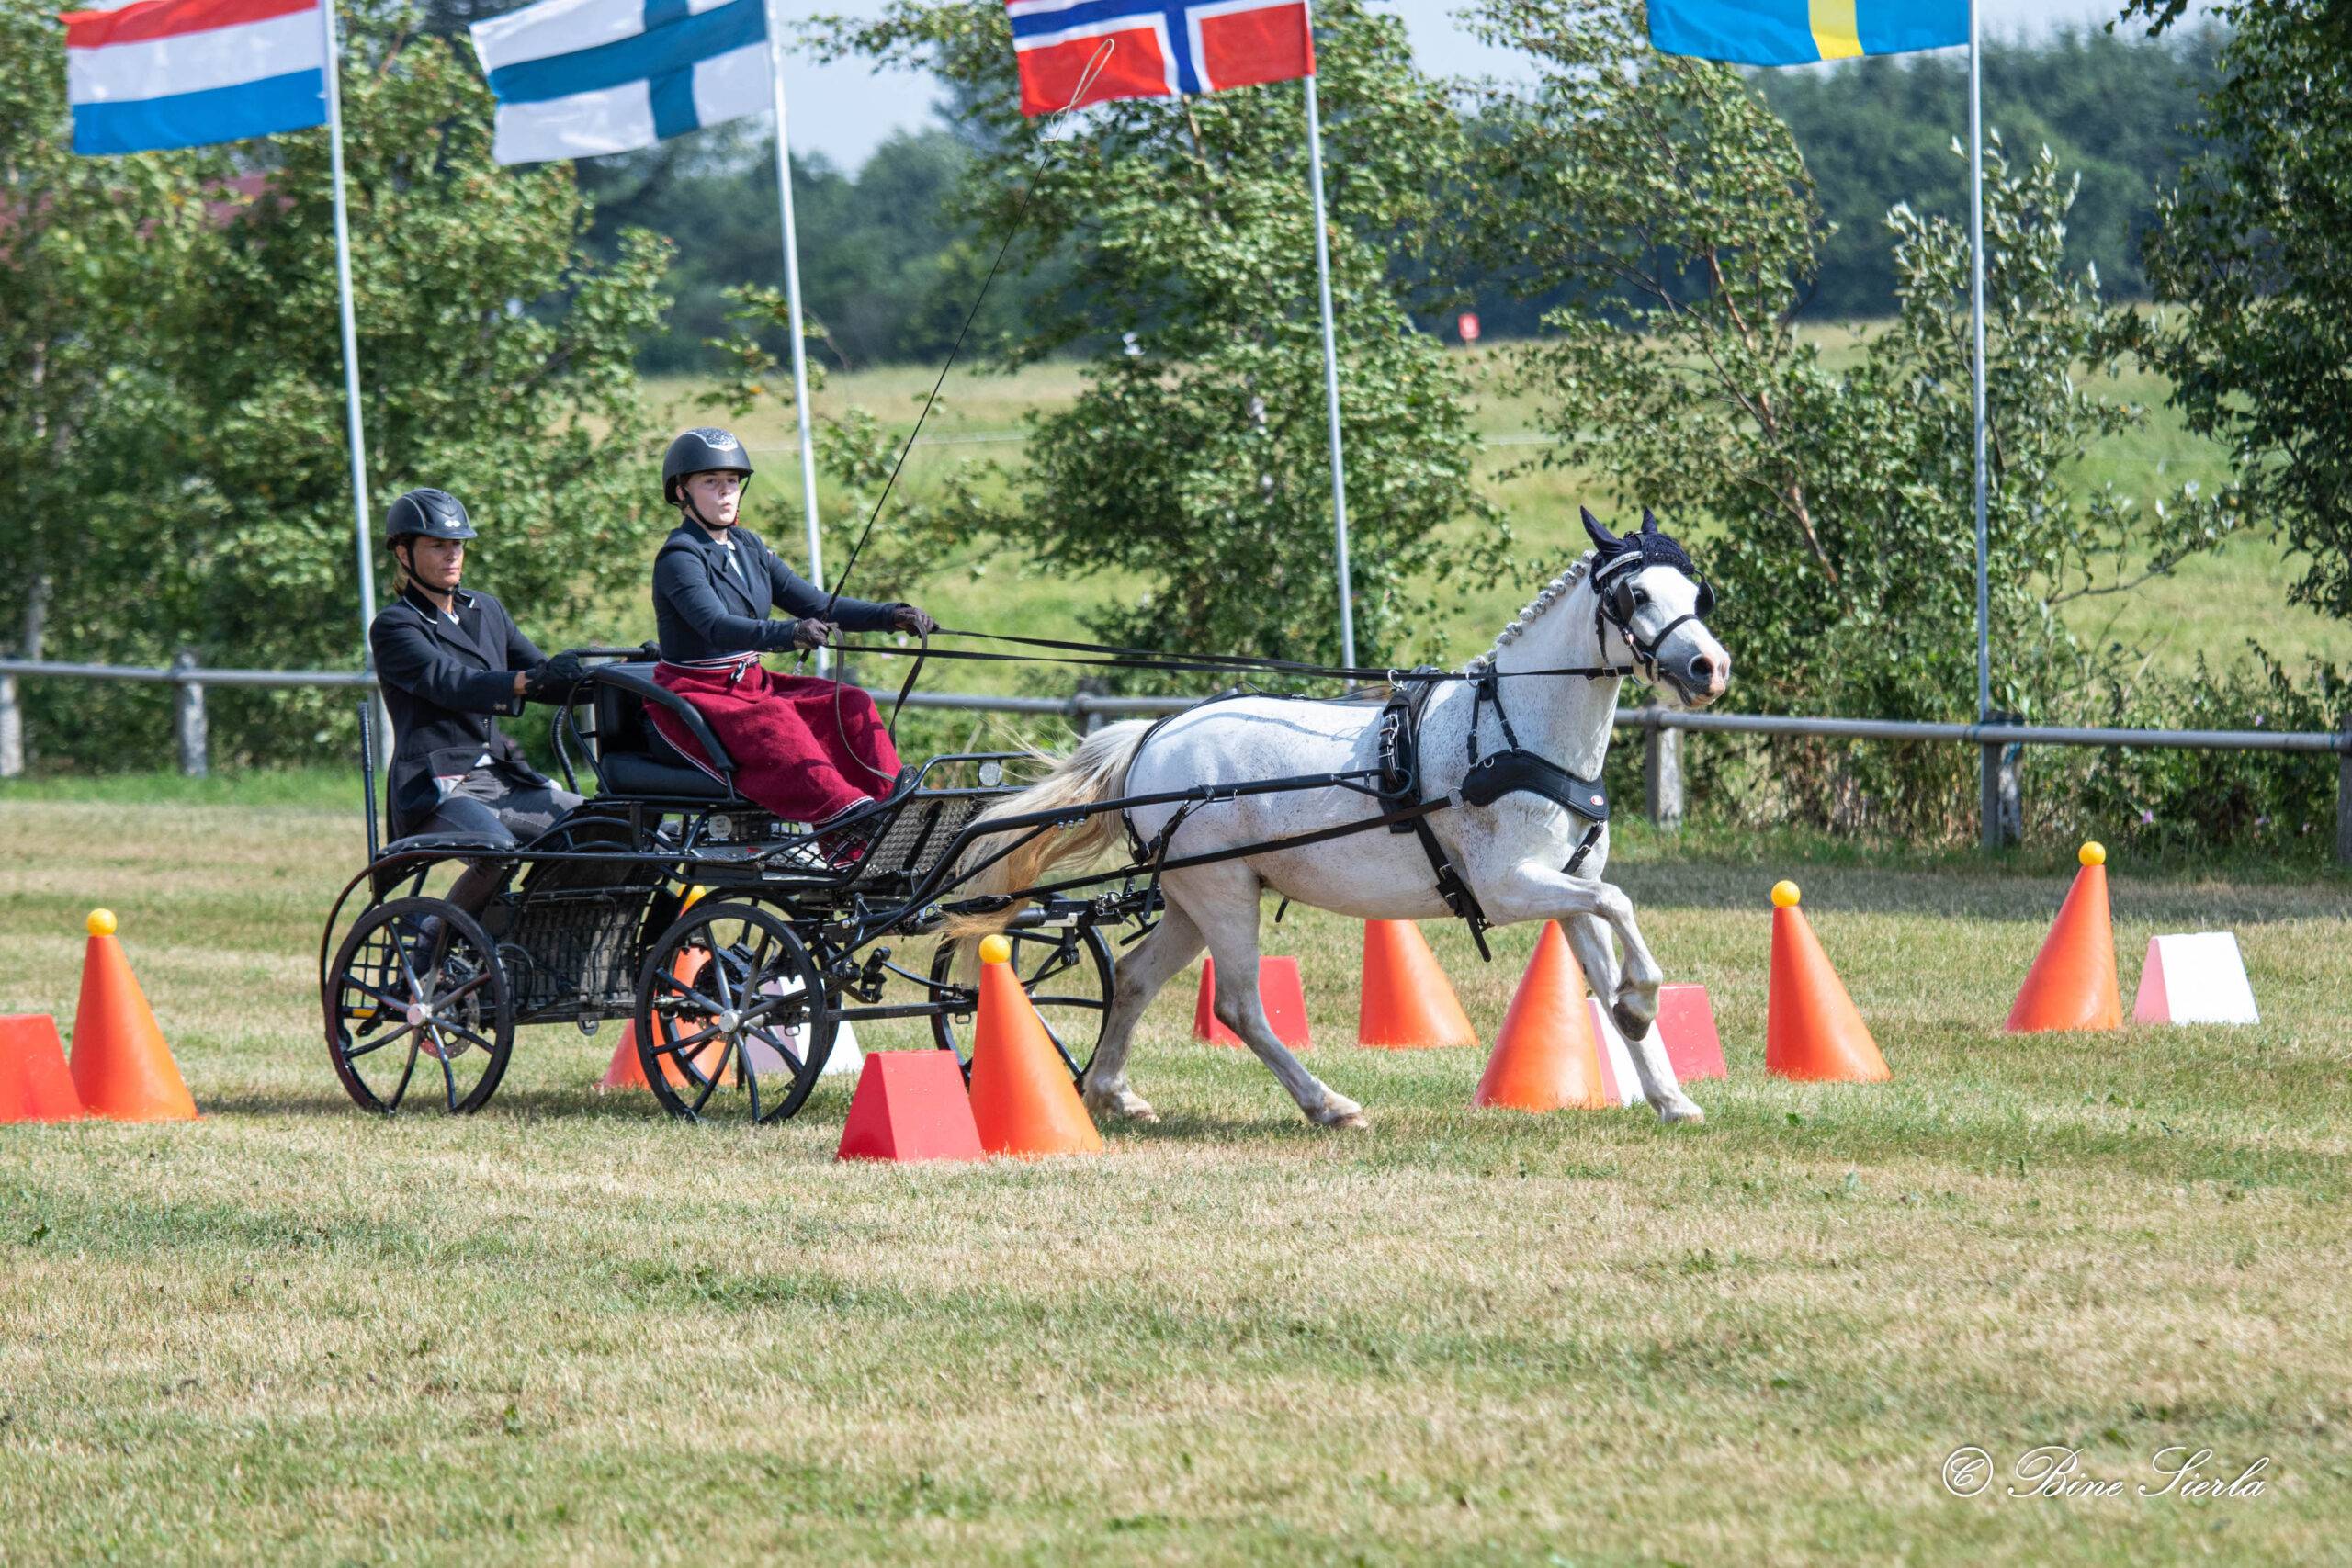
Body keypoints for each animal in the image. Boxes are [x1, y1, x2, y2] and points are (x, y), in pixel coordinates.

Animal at [957, 507, 1731, 1129]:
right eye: (1635, 593)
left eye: (1698, 592)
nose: (1710, 667)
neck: (1512, 731)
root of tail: (1152, 735)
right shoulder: (1510, 885)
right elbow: (1620, 902)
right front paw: (1642, 1003)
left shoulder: (1566, 891)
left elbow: (1606, 951)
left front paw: (1668, 1090)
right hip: (1223, 892)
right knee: (1239, 1007)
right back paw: (1326, 1103)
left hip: (1191, 898)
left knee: (1135, 975)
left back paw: (1113, 1093)